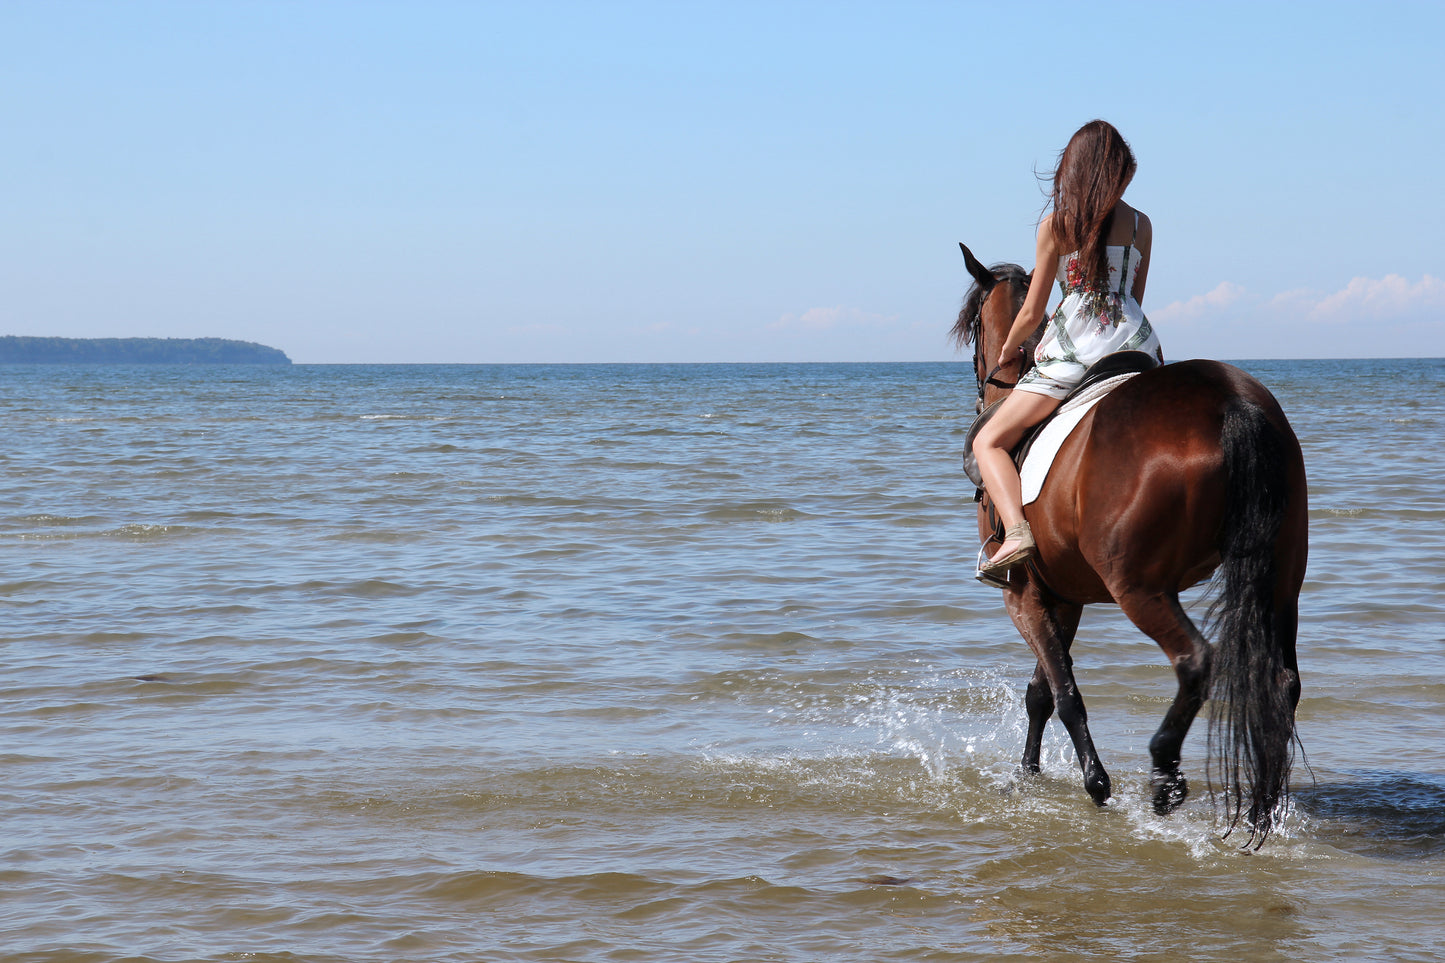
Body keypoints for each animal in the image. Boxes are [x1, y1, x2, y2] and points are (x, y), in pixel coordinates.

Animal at [953, 243, 1309, 846]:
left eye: (976, 325)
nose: (984, 389)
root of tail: (1232, 403)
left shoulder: (1021, 594)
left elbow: (1064, 691)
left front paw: (1095, 783)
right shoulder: (1063, 595)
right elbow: (1042, 691)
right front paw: (1028, 776)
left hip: (1138, 588)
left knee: (1195, 662)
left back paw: (1165, 774)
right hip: (1282, 582)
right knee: (1281, 685)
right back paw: (1262, 809)